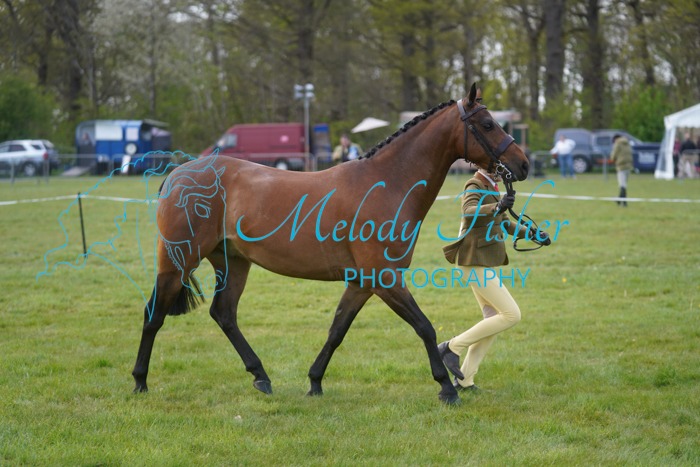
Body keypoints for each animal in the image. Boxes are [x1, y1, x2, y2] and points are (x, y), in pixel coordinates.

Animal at [131, 84, 530, 404]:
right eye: (488, 124)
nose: (523, 164)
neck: (388, 183)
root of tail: (179, 173)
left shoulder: (362, 282)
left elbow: (337, 330)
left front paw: (314, 382)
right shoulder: (385, 279)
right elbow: (425, 327)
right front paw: (447, 387)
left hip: (233, 263)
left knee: (224, 314)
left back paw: (261, 376)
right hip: (177, 261)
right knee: (154, 315)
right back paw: (140, 382)